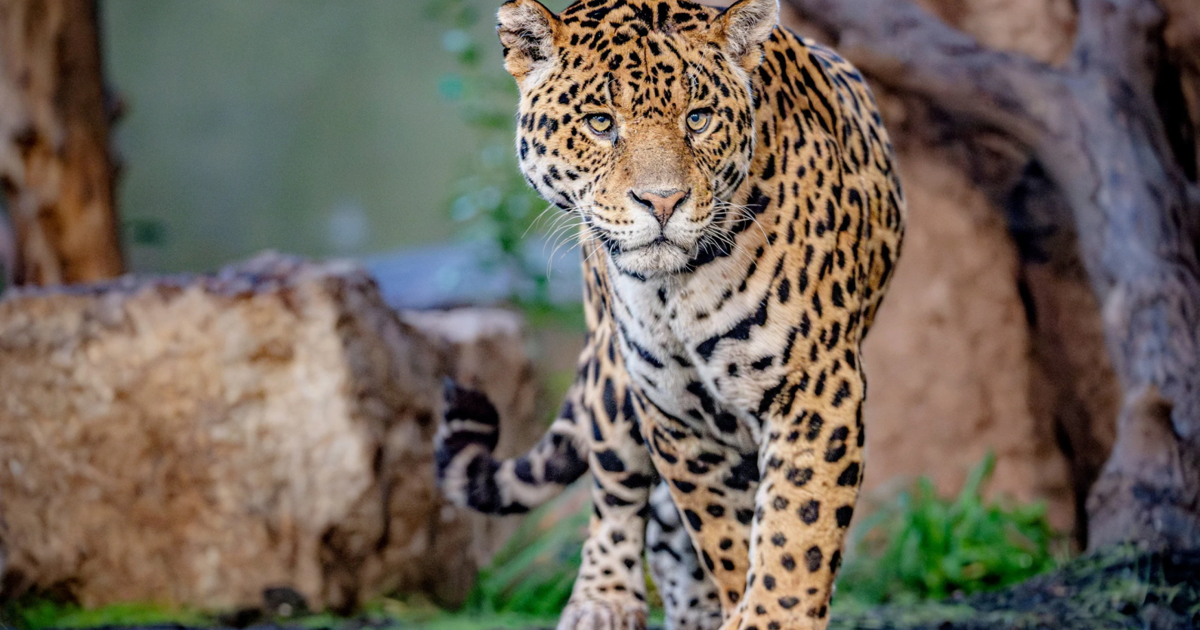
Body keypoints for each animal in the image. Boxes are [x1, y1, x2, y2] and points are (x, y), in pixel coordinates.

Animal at [434, 1, 905, 629]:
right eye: (600, 123)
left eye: (699, 119)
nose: (662, 201)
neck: (676, 289)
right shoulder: (673, 407)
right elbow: (723, 534)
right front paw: (739, 604)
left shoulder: (815, 386)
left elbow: (795, 526)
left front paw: (770, 614)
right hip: (612, 380)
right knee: (618, 494)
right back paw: (603, 601)